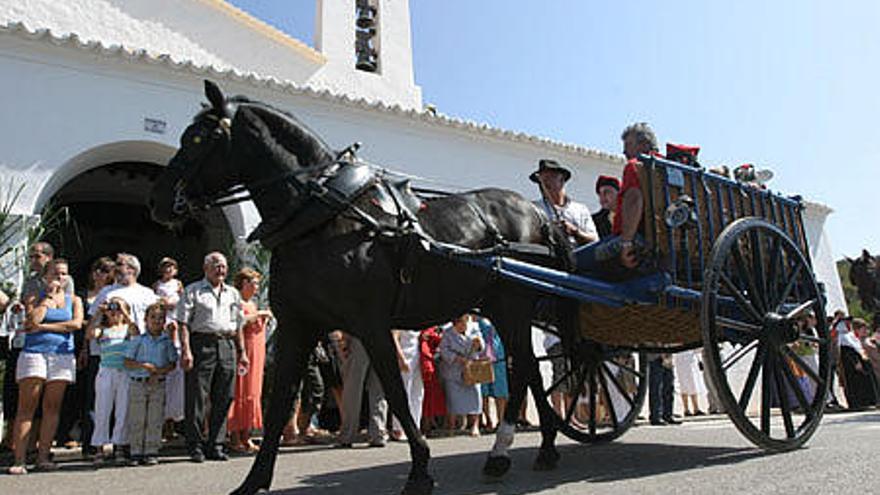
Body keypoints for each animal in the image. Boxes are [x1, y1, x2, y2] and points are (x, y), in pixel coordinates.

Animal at [150, 82, 576, 495]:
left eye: (199, 139)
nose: (158, 200)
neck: (323, 219)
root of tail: (536, 211)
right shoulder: (297, 326)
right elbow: (279, 403)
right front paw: (254, 480)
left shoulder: (371, 323)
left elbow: (396, 391)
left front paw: (419, 468)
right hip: (500, 308)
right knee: (530, 370)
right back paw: (536, 448)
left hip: (512, 306)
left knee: (524, 370)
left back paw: (511, 450)